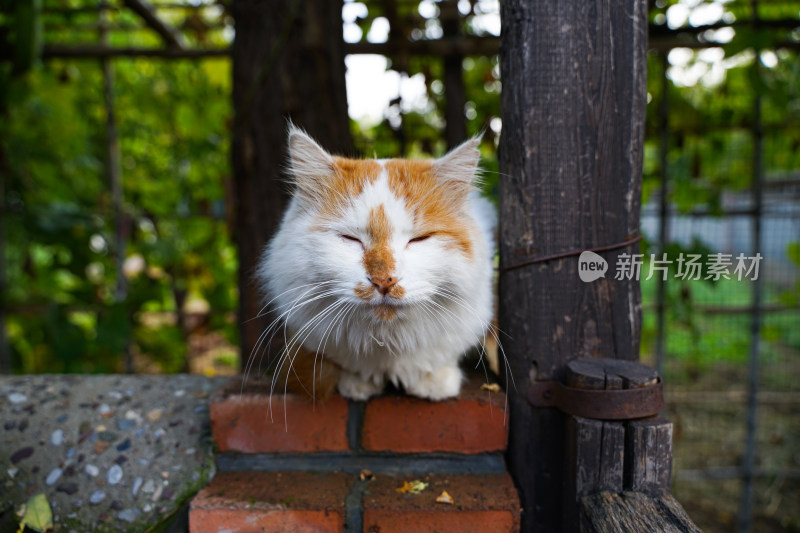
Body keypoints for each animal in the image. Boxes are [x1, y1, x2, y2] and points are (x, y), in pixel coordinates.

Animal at [255, 124, 494, 400]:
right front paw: (359, 385)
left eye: (419, 239)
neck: (386, 341)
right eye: (350, 238)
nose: (384, 281)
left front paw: (434, 382)